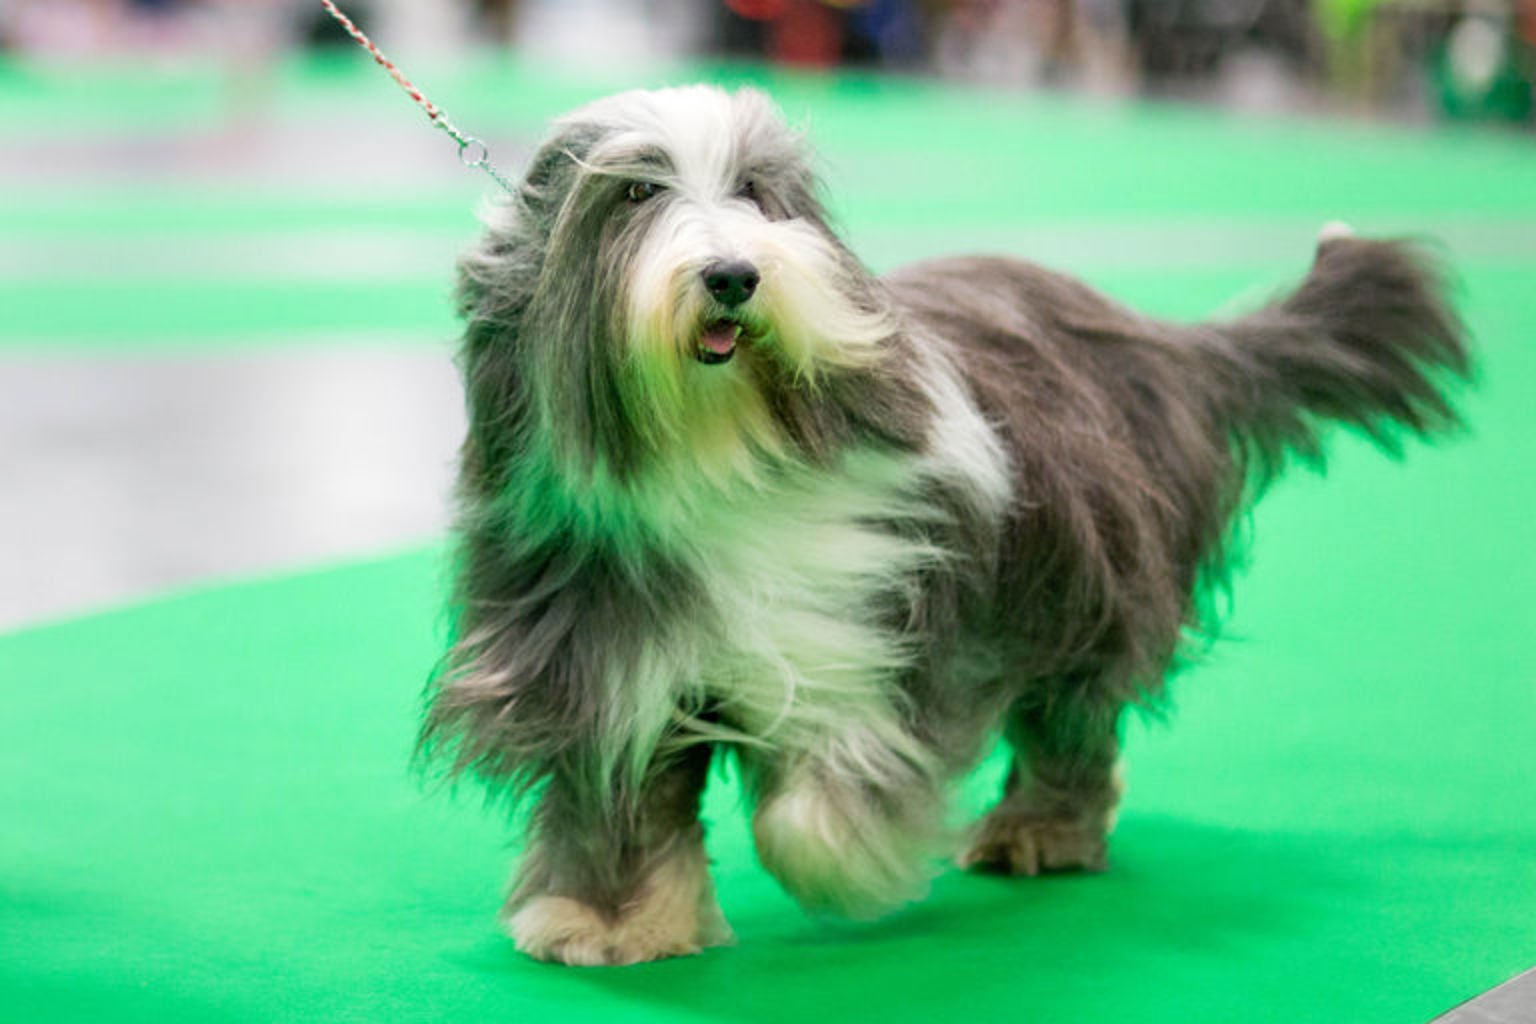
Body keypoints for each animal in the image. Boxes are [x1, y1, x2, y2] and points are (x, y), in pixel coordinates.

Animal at [417, 84, 1462, 964]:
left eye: (754, 192)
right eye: (635, 192)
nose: (732, 276)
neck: (718, 459)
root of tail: (1169, 342)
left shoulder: (893, 616)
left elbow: (825, 792)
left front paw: (848, 858)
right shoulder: (600, 650)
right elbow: (627, 798)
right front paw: (607, 925)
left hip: (1085, 579)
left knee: (1073, 722)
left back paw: (1039, 834)